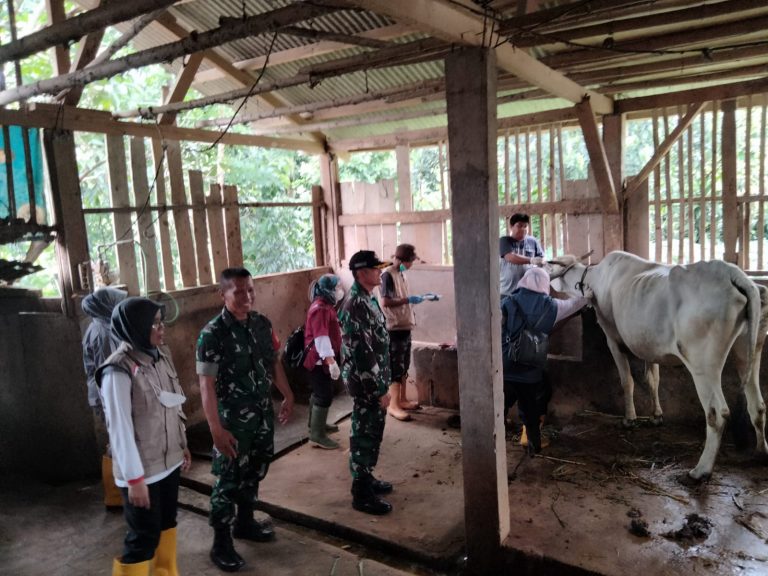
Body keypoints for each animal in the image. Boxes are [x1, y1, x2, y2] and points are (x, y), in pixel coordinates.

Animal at [544, 252, 768, 482]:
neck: (595, 278)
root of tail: (734, 274)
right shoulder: (648, 345)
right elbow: (653, 380)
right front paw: (656, 415)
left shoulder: (612, 339)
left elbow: (627, 381)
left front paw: (630, 419)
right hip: (749, 349)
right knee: (758, 404)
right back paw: (760, 452)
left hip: (703, 363)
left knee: (717, 413)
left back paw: (701, 470)